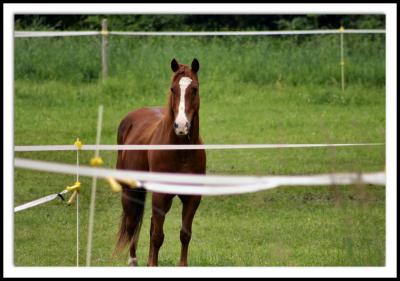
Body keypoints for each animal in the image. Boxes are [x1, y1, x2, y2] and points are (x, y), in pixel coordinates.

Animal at [113, 58, 205, 266]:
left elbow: (185, 234)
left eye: (194, 88)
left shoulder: (192, 197)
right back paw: (133, 261)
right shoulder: (160, 195)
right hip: (131, 191)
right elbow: (157, 236)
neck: (181, 152)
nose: (181, 126)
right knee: (132, 225)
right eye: (173, 89)